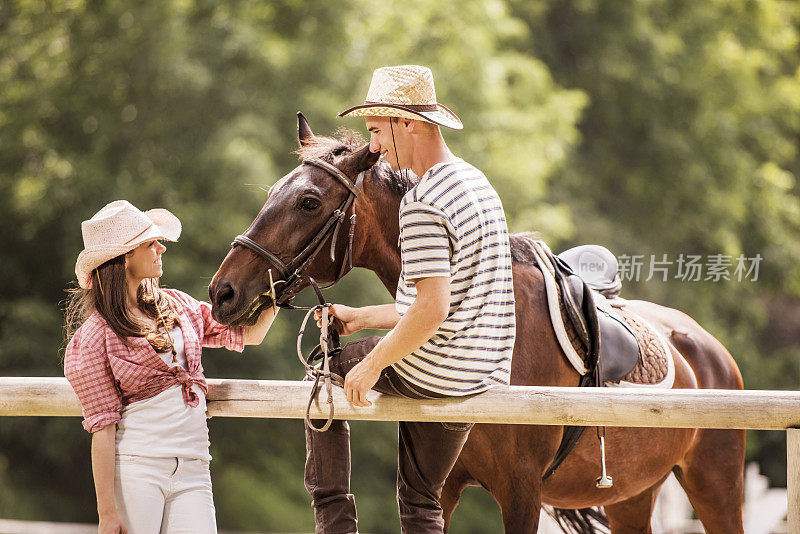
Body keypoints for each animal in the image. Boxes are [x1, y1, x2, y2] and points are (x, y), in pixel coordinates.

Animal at [209, 117, 748, 534]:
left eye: (309, 202)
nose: (222, 292)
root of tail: (711, 350)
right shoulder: (442, 486)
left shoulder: (522, 492)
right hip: (632, 496)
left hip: (716, 488)